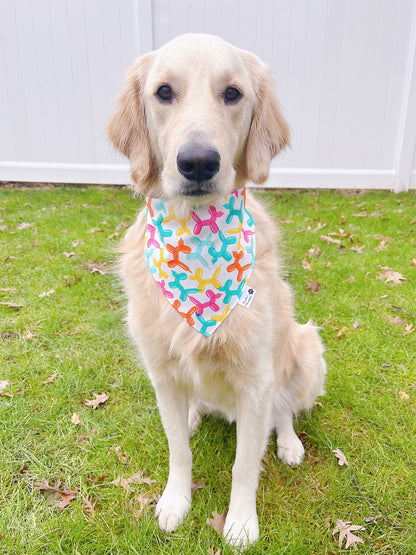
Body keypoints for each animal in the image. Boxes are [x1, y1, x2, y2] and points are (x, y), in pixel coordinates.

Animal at [107, 34, 324, 552]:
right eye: (164, 92)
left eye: (232, 93)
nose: (198, 162)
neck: (198, 234)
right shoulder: (162, 371)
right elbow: (178, 451)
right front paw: (175, 502)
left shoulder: (256, 381)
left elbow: (245, 464)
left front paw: (242, 524)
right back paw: (193, 414)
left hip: (307, 347)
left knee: (285, 410)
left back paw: (289, 442)